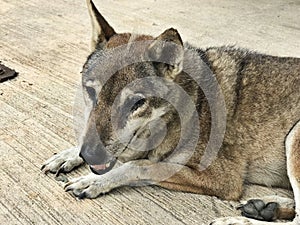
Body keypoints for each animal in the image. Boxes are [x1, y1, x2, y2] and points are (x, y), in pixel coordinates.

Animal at [41, 0, 298, 224]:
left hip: (293, 137)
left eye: (136, 103)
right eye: (90, 92)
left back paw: (238, 220)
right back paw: (268, 207)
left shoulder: (222, 179)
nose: (91, 157)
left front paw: (94, 181)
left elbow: (138, 165)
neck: (191, 106)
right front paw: (68, 155)